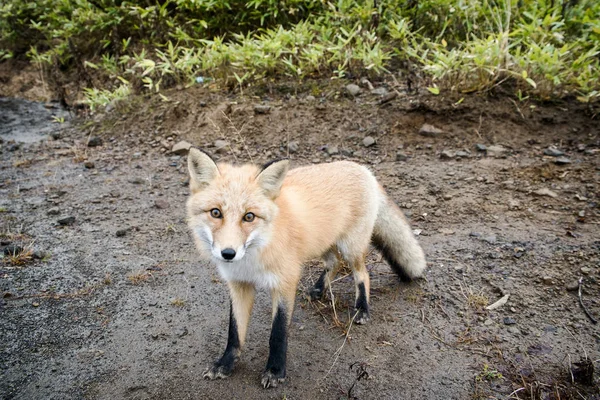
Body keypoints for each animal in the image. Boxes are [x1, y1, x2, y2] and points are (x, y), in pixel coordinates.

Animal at [185, 147, 424, 388]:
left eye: (249, 216)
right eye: (216, 213)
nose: (228, 253)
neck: (254, 257)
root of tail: (363, 169)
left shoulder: (285, 281)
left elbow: (278, 332)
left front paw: (275, 370)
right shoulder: (239, 284)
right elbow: (234, 332)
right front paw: (225, 364)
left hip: (351, 247)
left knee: (362, 274)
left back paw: (362, 308)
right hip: (321, 243)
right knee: (334, 262)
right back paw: (318, 290)